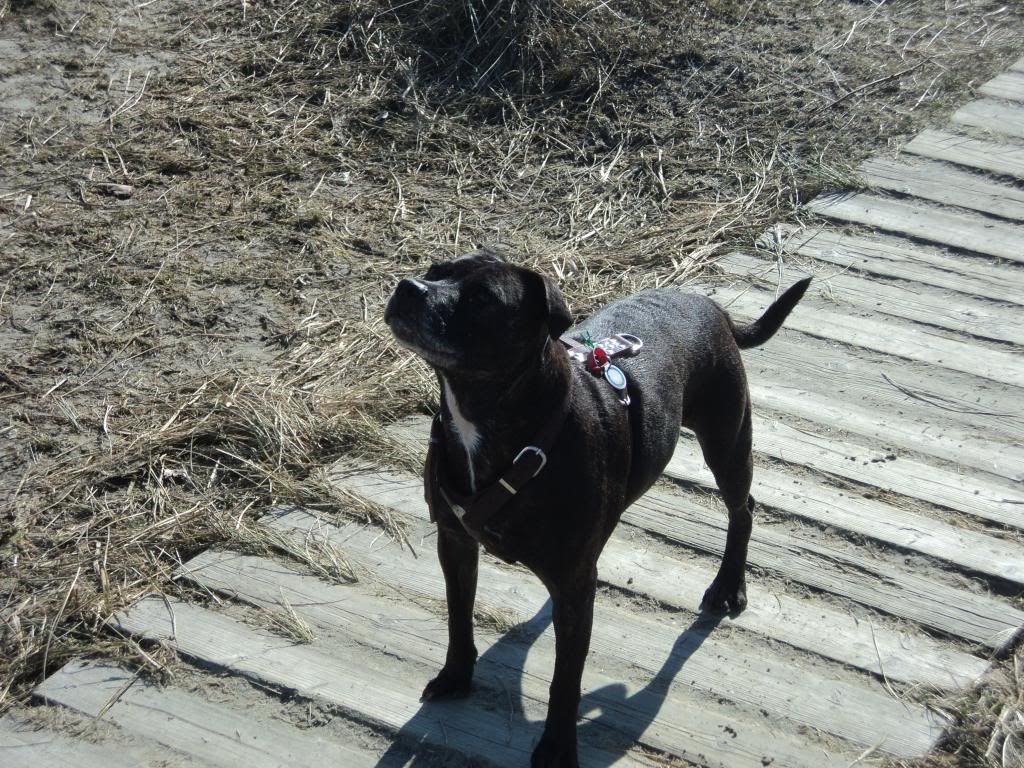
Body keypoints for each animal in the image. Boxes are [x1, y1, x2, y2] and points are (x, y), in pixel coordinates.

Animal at [385, 249, 806, 765]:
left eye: (483, 298)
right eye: (434, 270)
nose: (409, 287)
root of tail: (713, 307)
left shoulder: (572, 585)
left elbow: (566, 678)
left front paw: (556, 747)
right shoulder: (456, 542)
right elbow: (459, 617)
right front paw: (456, 676)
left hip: (726, 440)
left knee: (741, 508)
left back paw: (729, 585)